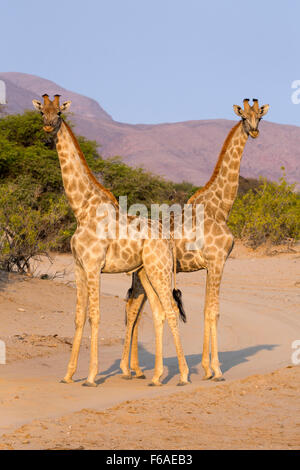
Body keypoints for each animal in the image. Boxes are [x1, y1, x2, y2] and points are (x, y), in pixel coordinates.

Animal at [32, 94, 188, 386]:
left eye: (58, 113)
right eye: (41, 112)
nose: (47, 130)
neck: (82, 209)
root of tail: (168, 240)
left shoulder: (94, 267)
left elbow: (95, 316)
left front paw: (91, 376)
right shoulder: (79, 267)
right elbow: (78, 317)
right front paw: (68, 375)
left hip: (159, 270)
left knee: (171, 310)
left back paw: (183, 375)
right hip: (146, 272)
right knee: (159, 312)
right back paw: (156, 377)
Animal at [120, 97, 270, 380]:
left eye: (261, 116)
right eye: (244, 117)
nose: (255, 131)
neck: (219, 208)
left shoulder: (212, 264)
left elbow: (207, 310)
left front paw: (207, 368)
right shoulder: (218, 261)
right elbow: (213, 311)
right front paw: (216, 369)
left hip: (141, 273)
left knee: (133, 307)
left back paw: (133, 369)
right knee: (133, 308)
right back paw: (130, 369)